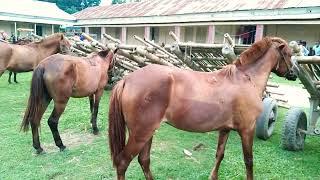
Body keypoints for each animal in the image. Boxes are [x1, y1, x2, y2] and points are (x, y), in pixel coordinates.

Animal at [108, 37, 298, 180]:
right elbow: (249, 160)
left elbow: (220, 154)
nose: (294, 74)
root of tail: (127, 79)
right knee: (123, 162)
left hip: (148, 132)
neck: (246, 79)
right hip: (141, 133)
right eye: (289, 54)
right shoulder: (247, 129)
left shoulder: (225, 129)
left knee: (144, 160)